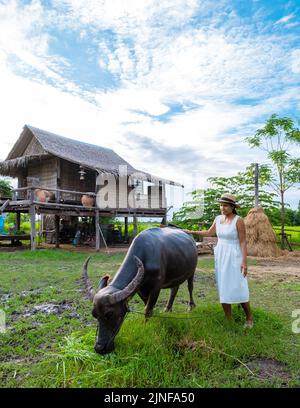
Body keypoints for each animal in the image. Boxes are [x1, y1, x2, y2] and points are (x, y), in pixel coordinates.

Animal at [82, 226, 199, 354]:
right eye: (94, 314)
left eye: (110, 314)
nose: (99, 348)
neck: (146, 255)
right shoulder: (140, 289)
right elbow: (147, 305)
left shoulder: (156, 288)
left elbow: (147, 309)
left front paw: (145, 326)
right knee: (174, 288)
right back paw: (168, 309)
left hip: (192, 271)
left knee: (190, 287)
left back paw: (191, 306)